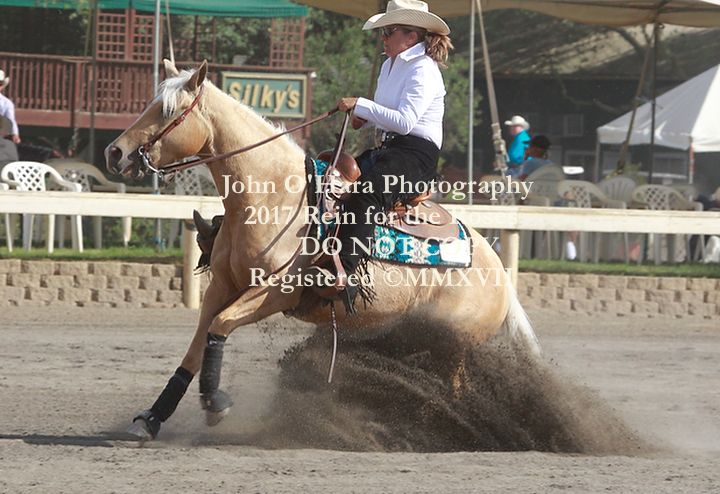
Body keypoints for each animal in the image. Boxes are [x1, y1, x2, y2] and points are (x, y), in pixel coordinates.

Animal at [105, 60, 541, 441]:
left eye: (167, 110)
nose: (114, 152)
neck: (274, 194)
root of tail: (498, 270)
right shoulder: (221, 287)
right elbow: (195, 349)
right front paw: (150, 419)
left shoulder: (274, 293)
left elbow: (220, 327)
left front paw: (215, 403)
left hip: (451, 349)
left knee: (455, 391)